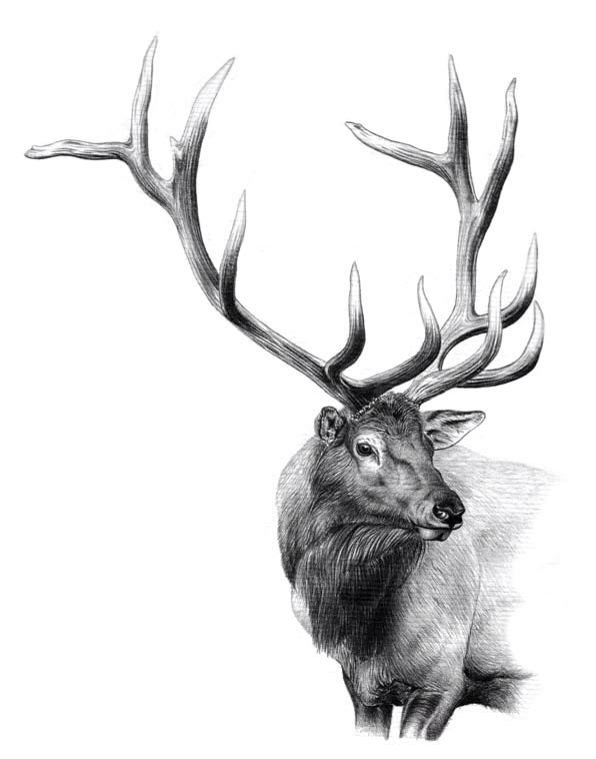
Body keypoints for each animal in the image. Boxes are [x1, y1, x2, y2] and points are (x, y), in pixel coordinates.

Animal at [26, 40, 548, 740]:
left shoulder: (444, 678)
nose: (450, 509)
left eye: (429, 443)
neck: (363, 633)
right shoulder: (363, 689)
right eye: (364, 445)